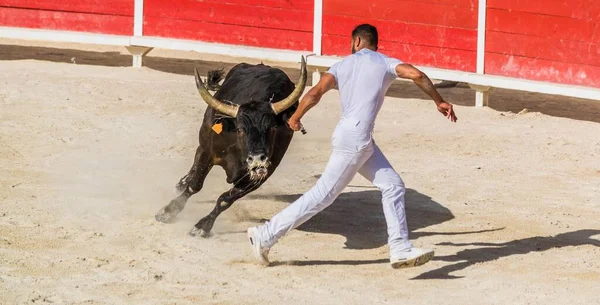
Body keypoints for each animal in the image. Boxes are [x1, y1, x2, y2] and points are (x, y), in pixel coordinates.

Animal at [155, 55, 308, 235]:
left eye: (271, 128)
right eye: (241, 129)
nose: (257, 159)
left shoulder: (260, 175)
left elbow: (225, 199)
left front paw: (203, 226)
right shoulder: (209, 153)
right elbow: (195, 185)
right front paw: (169, 211)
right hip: (204, 136)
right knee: (197, 155)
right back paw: (182, 183)